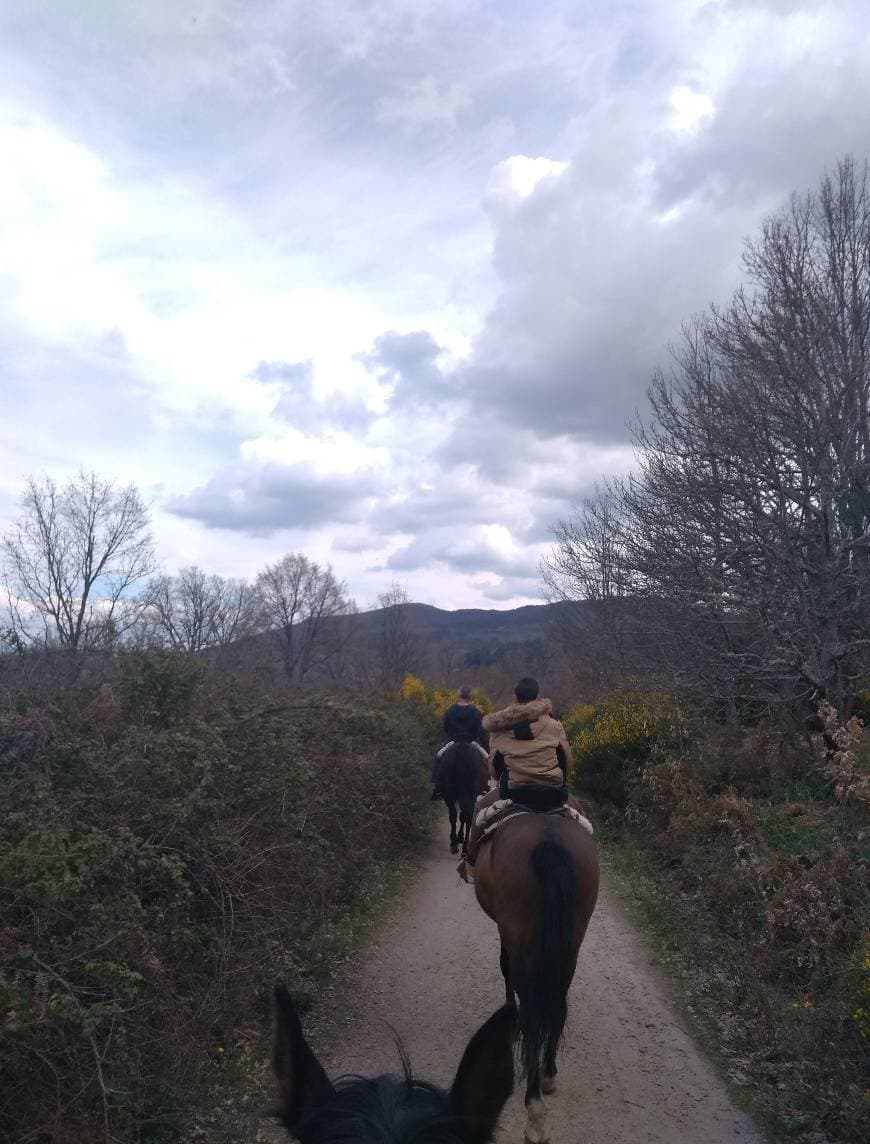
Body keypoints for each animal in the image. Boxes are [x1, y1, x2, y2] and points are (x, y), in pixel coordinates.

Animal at [471, 809, 599, 1139]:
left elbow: (504, 965)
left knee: (531, 1009)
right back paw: (549, 1074)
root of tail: (549, 842)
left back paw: (534, 1107)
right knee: (557, 1006)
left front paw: (508, 1012)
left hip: (521, 939)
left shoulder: (506, 932)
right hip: (570, 947)